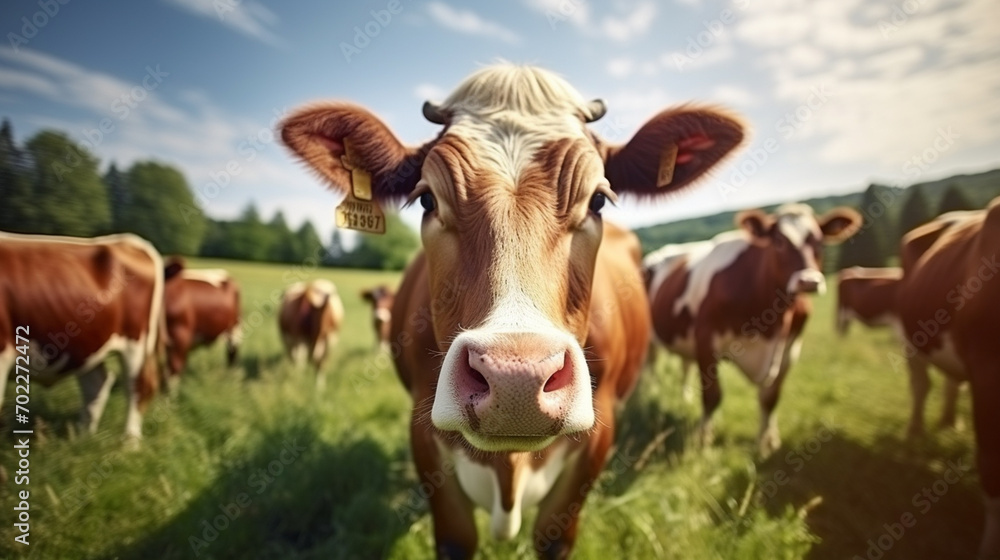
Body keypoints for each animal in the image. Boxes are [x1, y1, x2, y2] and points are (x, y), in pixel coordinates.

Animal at [0, 232, 166, 442]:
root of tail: (128, 241)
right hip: (89, 342)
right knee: (96, 384)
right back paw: (83, 437)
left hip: (137, 344)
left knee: (136, 386)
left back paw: (129, 442)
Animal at [280, 63, 744, 556]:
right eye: (427, 199)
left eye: (598, 199)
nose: (515, 379)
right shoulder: (425, 441)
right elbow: (456, 537)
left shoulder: (595, 444)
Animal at [644, 203, 864, 458]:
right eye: (778, 241)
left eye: (818, 241)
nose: (808, 281)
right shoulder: (706, 339)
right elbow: (712, 396)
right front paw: (704, 443)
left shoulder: (789, 348)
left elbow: (770, 399)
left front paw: (766, 444)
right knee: (650, 366)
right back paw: (651, 393)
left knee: (685, 366)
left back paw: (685, 397)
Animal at [896, 198, 1000, 560]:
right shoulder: (988, 373)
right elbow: (991, 467)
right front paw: (988, 549)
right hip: (912, 337)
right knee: (920, 386)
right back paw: (915, 431)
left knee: (952, 383)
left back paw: (949, 422)